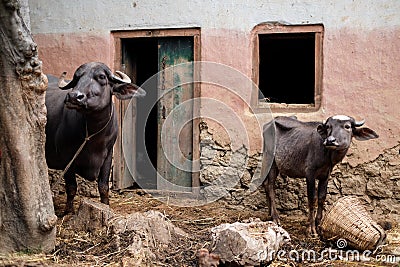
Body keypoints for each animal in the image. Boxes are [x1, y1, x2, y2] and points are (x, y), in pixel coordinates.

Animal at [45, 61, 145, 215]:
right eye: (77, 78)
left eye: (102, 77)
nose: (73, 96)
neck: (93, 136)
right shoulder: (67, 158)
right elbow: (71, 187)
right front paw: (69, 211)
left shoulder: (108, 155)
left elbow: (103, 187)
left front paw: (106, 206)